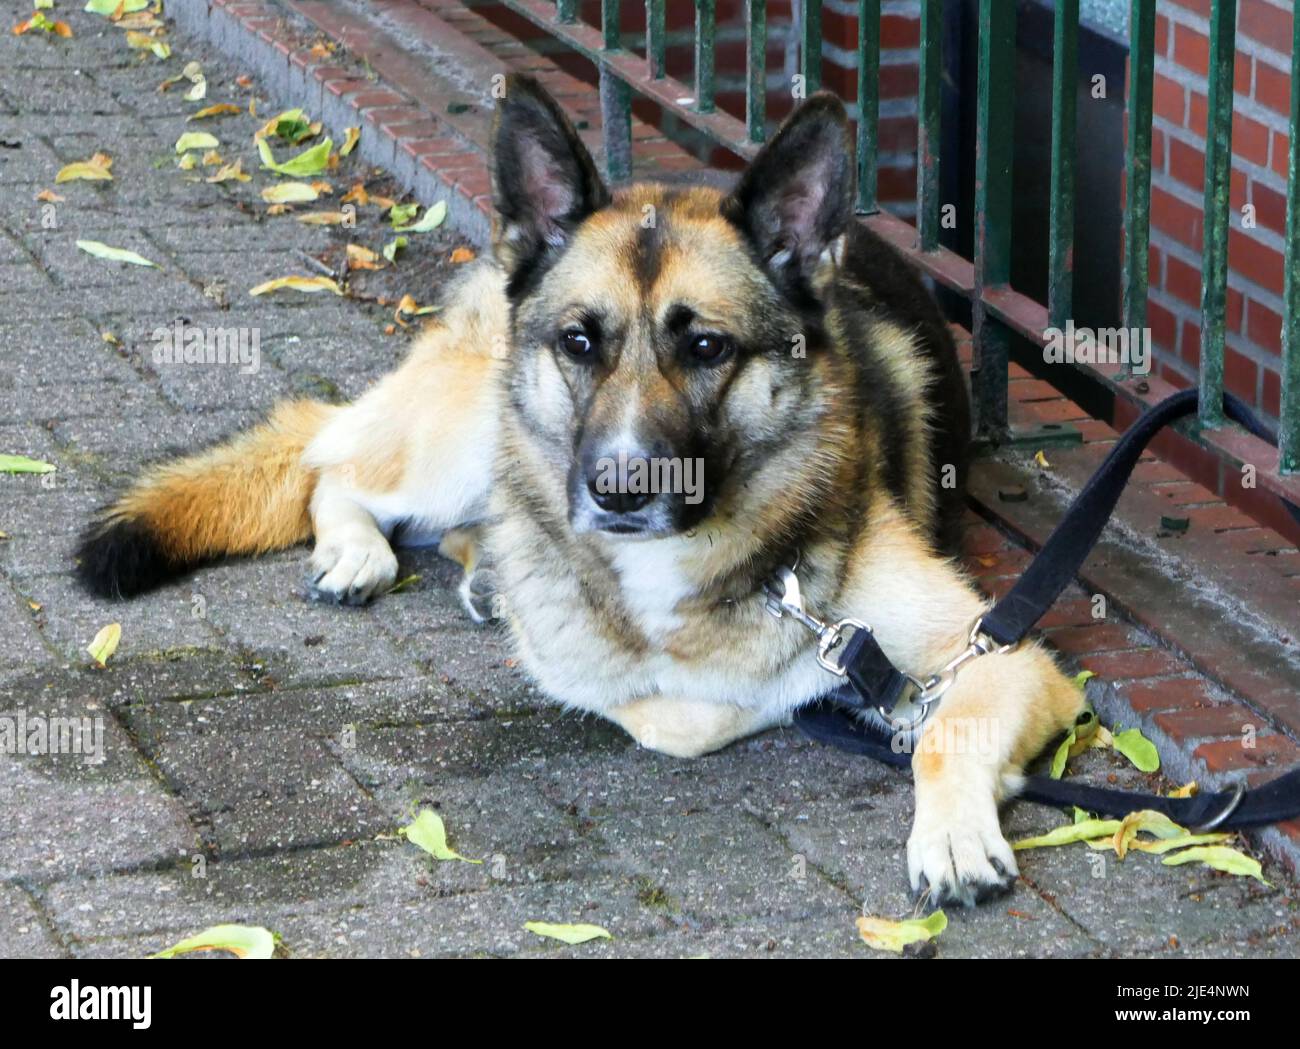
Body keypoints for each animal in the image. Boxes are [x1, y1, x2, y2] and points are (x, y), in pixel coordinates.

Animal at [76, 76, 1081, 909]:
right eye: (579, 341)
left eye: (707, 347)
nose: (620, 488)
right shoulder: (594, 658)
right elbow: (679, 706)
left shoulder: (999, 657)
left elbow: (945, 728)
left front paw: (952, 831)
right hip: (466, 434)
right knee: (335, 462)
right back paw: (364, 551)